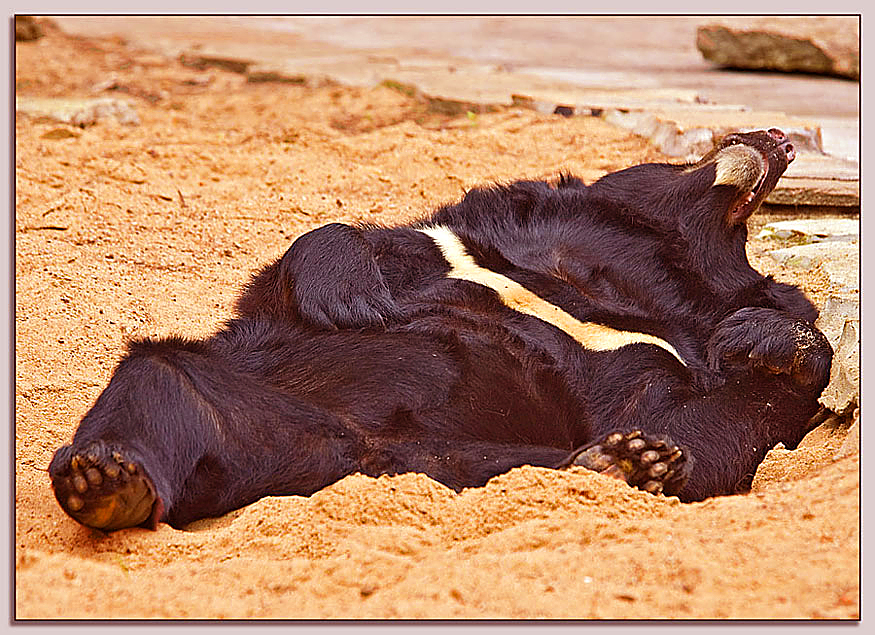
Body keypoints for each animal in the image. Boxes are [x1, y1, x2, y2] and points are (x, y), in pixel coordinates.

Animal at [49, 128, 836, 532]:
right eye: (676, 159)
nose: (778, 138)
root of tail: (337, 456)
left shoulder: (675, 361)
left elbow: (715, 426)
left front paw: (757, 339)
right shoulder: (466, 240)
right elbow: (332, 250)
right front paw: (353, 302)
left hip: (466, 458)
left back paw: (621, 463)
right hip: (241, 401)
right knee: (157, 381)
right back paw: (106, 481)